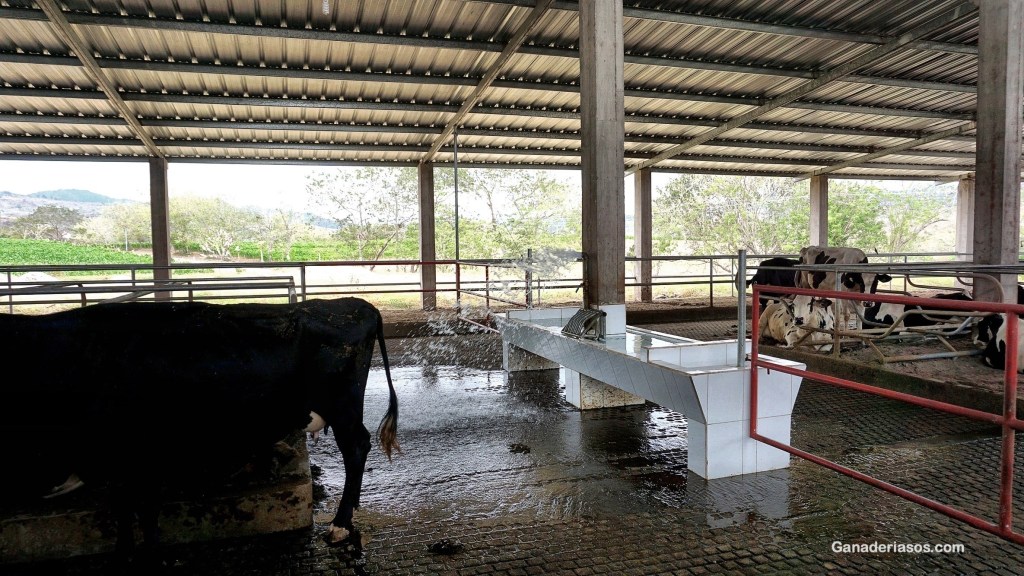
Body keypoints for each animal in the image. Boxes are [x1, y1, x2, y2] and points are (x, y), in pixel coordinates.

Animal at [0, 297, 399, 559]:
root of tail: (354, 303)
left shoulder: (135, 453)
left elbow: (141, 513)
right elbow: (128, 512)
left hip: (343, 406)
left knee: (356, 448)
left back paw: (341, 524)